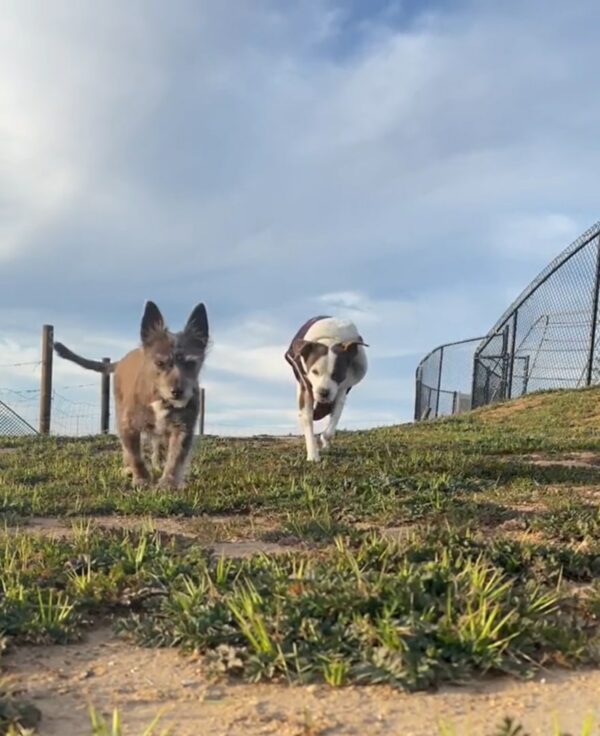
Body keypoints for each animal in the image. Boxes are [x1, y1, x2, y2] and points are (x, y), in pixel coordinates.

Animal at [55, 302, 209, 492]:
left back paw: (158, 463)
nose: (177, 392)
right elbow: (135, 455)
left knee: (158, 444)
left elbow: (175, 457)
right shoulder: (127, 425)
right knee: (129, 449)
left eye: (190, 363)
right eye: (160, 363)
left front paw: (168, 483)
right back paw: (130, 468)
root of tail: (121, 361)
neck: (159, 399)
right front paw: (141, 479)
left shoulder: (183, 428)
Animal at [284, 314, 366, 460]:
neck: (330, 339)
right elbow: (307, 419)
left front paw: (323, 439)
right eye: (314, 371)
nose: (324, 392)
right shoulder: (306, 388)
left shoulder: (341, 389)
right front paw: (313, 454)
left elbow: (333, 421)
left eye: (337, 374)